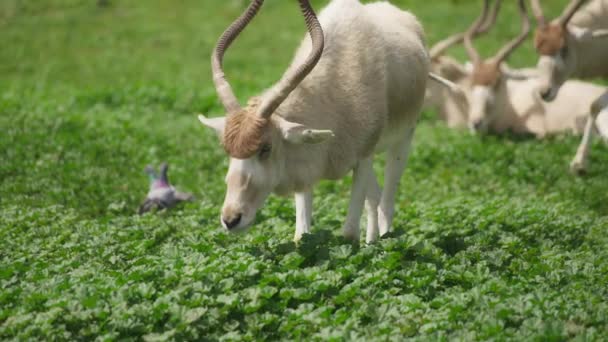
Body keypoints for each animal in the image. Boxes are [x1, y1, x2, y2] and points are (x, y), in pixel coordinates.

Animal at [198, 0, 428, 243]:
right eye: (227, 151)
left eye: (266, 148)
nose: (231, 219)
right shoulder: (306, 166)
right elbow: (301, 234)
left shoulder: (363, 156)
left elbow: (349, 233)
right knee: (374, 196)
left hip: (402, 140)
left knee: (386, 202)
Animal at [528, 0, 608, 172]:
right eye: (537, 49)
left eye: (564, 48)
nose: (544, 92)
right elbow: (594, 106)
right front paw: (578, 164)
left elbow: (596, 104)